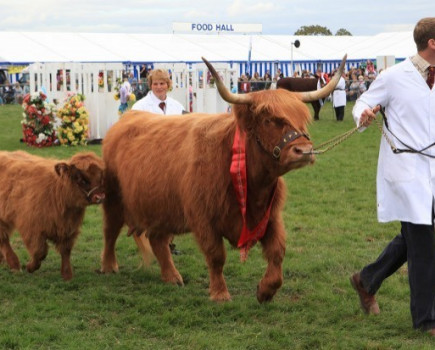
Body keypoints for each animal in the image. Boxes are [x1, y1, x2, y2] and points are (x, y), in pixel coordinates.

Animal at [0, 150, 104, 278]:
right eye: (80, 179)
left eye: (100, 176)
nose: (100, 197)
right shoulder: (31, 229)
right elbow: (40, 252)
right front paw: (30, 267)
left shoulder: (68, 230)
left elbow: (65, 251)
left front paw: (67, 275)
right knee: (4, 239)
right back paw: (14, 264)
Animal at [101, 56, 348, 302]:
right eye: (268, 120)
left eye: (302, 119)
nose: (304, 151)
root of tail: (125, 119)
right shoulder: (203, 218)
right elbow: (216, 256)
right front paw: (220, 293)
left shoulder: (270, 216)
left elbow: (277, 252)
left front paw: (265, 291)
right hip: (113, 200)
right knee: (110, 232)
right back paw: (109, 266)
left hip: (161, 206)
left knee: (157, 239)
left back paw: (172, 277)